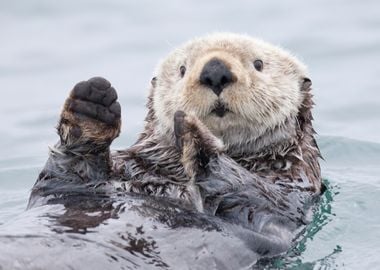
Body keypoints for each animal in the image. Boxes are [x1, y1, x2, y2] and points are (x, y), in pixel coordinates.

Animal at [26, 32, 322, 266]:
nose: (215, 71)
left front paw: (195, 135)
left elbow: (249, 190)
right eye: (182, 69)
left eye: (258, 64)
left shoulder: (287, 193)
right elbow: (66, 175)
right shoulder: (84, 181)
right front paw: (91, 105)